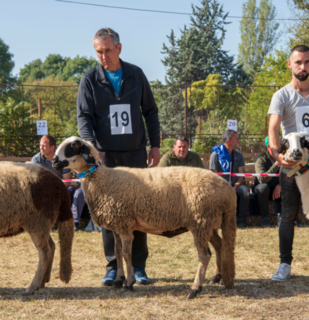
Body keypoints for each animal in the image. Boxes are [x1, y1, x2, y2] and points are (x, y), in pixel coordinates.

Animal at [0, 161, 74, 294]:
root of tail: (59, 182)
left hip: (38, 221)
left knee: (45, 252)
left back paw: (33, 287)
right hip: (44, 222)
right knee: (52, 246)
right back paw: (43, 281)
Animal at [53, 136, 236, 298]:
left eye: (73, 146)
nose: (54, 161)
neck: (102, 179)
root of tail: (227, 190)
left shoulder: (125, 225)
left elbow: (127, 253)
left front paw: (129, 283)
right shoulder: (117, 225)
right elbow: (117, 252)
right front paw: (118, 280)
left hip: (201, 221)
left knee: (204, 256)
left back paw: (195, 289)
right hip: (209, 222)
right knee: (220, 246)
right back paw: (218, 277)